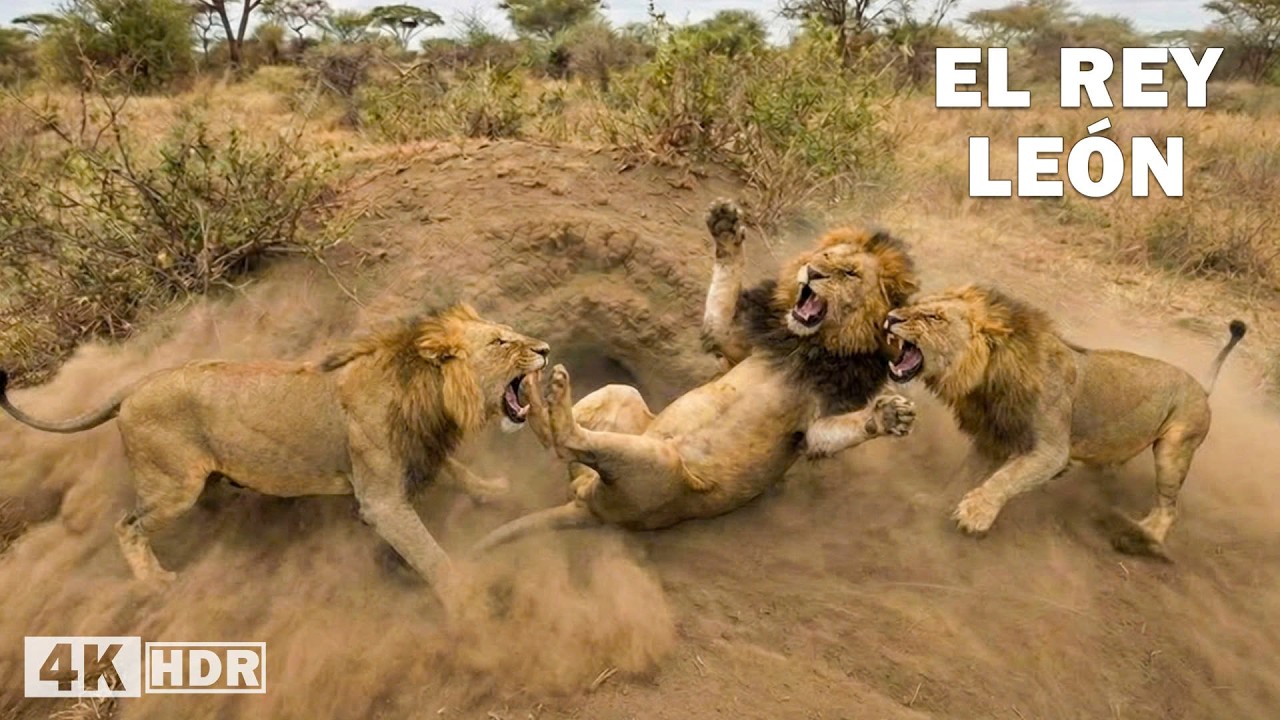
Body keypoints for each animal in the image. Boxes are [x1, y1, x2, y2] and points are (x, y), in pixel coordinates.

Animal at [0, 303, 549, 597]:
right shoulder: (381, 501)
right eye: (501, 342)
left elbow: (459, 470)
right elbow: (429, 555)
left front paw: (494, 490)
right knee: (126, 525)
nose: (544, 349)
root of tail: (133, 386)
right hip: (173, 486)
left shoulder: (419, 450)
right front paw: (466, 599)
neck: (429, 394)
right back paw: (155, 583)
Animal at [469, 200, 919, 554]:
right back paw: (533, 392)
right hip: (622, 396)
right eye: (823, 256)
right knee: (562, 438)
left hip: (660, 469)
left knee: (565, 441)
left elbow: (827, 434)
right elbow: (720, 310)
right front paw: (726, 229)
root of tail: (587, 508)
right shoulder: (737, 348)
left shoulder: (813, 423)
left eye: (849, 273)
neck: (809, 347)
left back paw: (548, 393)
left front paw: (888, 416)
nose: (812, 271)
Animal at [882, 284, 1247, 557]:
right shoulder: (993, 438)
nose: (889, 318)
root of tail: (1201, 387)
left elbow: (1006, 478)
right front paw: (937, 500)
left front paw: (975, 515)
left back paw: (1139, 538)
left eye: (933, 317)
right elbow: (968, 474)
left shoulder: (1050, 449)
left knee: (1169, 507)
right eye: (916, 305)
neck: (986, 378)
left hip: (1174, 449)